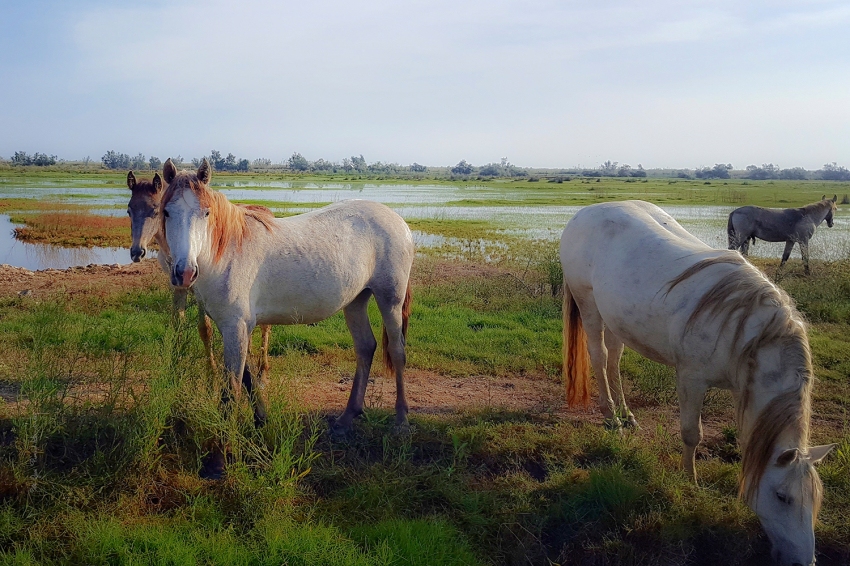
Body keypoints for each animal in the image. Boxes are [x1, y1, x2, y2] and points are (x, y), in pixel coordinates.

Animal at [560, 201, 832, 566]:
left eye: (815, 500)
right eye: (782, 497)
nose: (805, 562)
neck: (745, 329)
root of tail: (585, 212)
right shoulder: (691, 378)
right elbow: (692, 434)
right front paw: (691, 483)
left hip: (616, 315)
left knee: (615, 359)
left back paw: (627, 416)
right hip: (588, 304)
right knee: (601, 358)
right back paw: (610, 417)